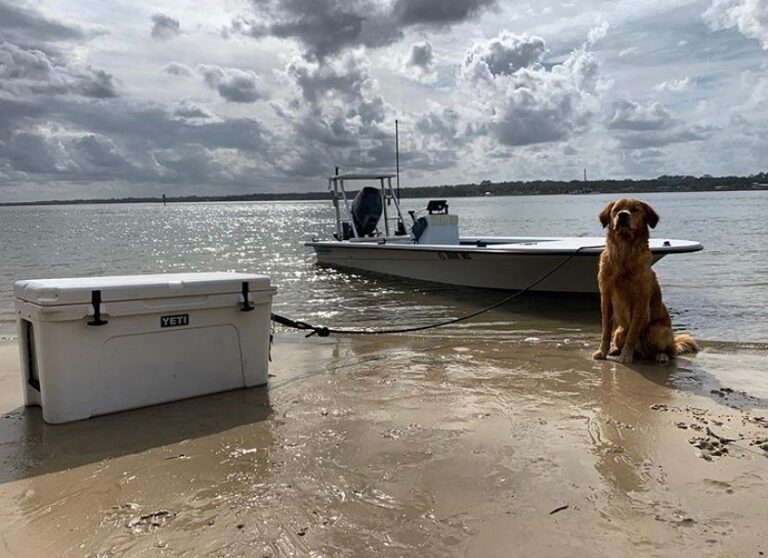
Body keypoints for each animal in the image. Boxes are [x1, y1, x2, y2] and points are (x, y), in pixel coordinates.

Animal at [592, 199, 700, 366]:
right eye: (616, 210)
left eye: (635, 209)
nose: (622, 215)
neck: (624, 252)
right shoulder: (606, 297)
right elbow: (605, 330)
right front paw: (602, 351)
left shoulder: (640, 301)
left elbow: (632, 333)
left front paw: (626, 356)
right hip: (620, 331)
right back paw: (615, 350)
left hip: (658, 331)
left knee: (668, 352)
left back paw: (661, 356)